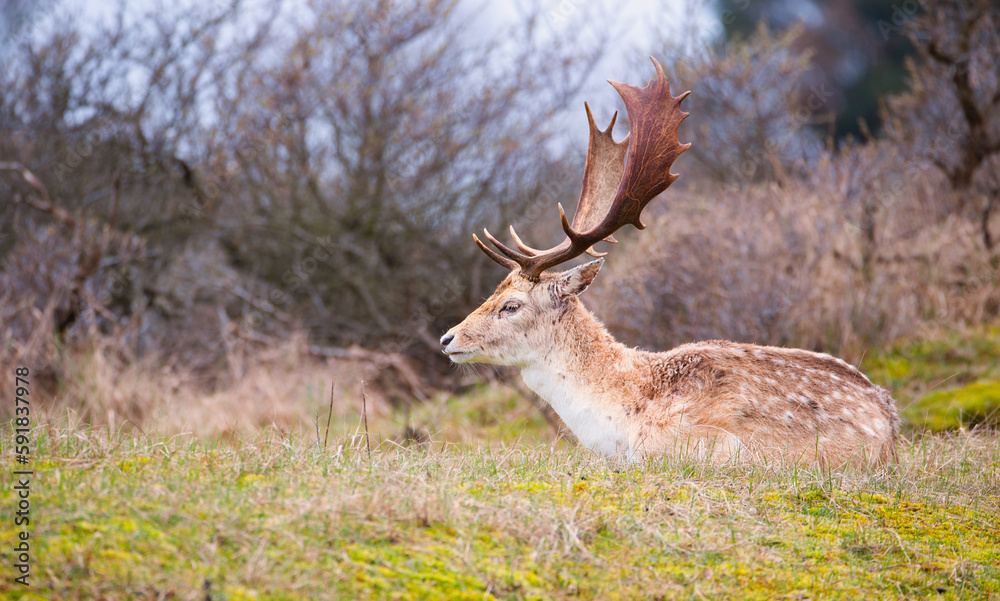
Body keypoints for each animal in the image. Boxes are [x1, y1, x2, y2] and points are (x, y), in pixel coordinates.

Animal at [440, 58, 900, 467]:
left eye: (511, 305)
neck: (624, 417)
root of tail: (893, 424)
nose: (447, 338)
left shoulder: (706, 445)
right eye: (493, 292)